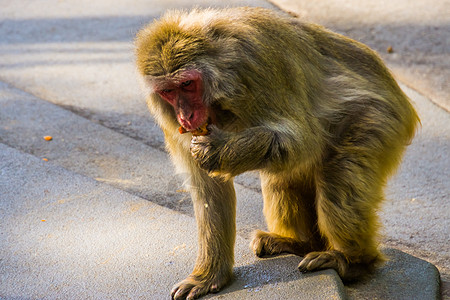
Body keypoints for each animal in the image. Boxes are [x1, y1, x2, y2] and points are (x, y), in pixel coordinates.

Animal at [134, 7, 418, 300]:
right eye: (168, 91)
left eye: (188, 84)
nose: (185, 116)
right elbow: (209, 189)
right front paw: (209, 277)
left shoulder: (255, 66)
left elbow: (303, 141)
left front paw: (217, 149)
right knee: (280, 177)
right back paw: (299, 242)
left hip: (379, 120)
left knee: (338, 177)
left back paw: (354, 262)